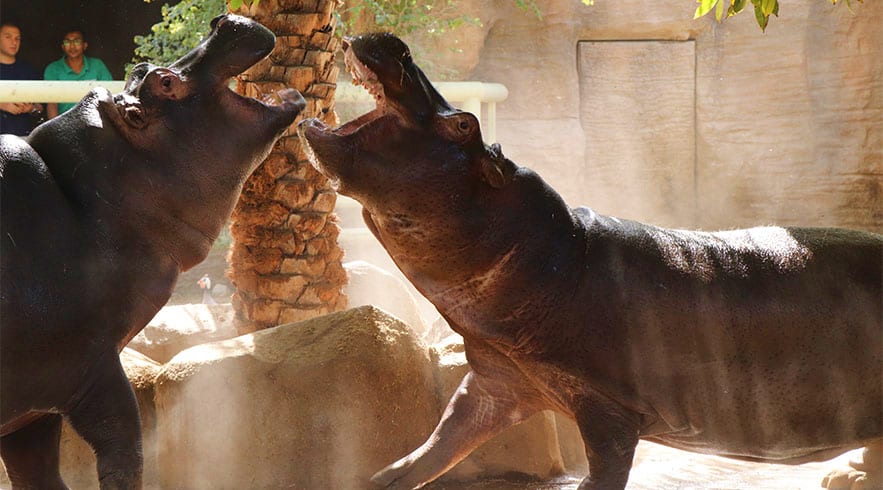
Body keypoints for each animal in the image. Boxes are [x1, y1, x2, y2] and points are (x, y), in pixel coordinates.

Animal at [0, 15, 304, 488]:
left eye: (141, 69)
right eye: (165, 83)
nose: (222, 21)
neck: (90, 204)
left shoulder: (30, 416)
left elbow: (38, 474)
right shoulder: (91, 367)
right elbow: (125, 449)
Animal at [298, 33, 882, 490]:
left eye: (464, 125)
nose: (397, 44)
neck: (556, 252)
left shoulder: (609, 411)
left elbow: (602, 470)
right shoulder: (497, 380)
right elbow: (436, 445)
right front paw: (378, 476)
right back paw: (845, 476)